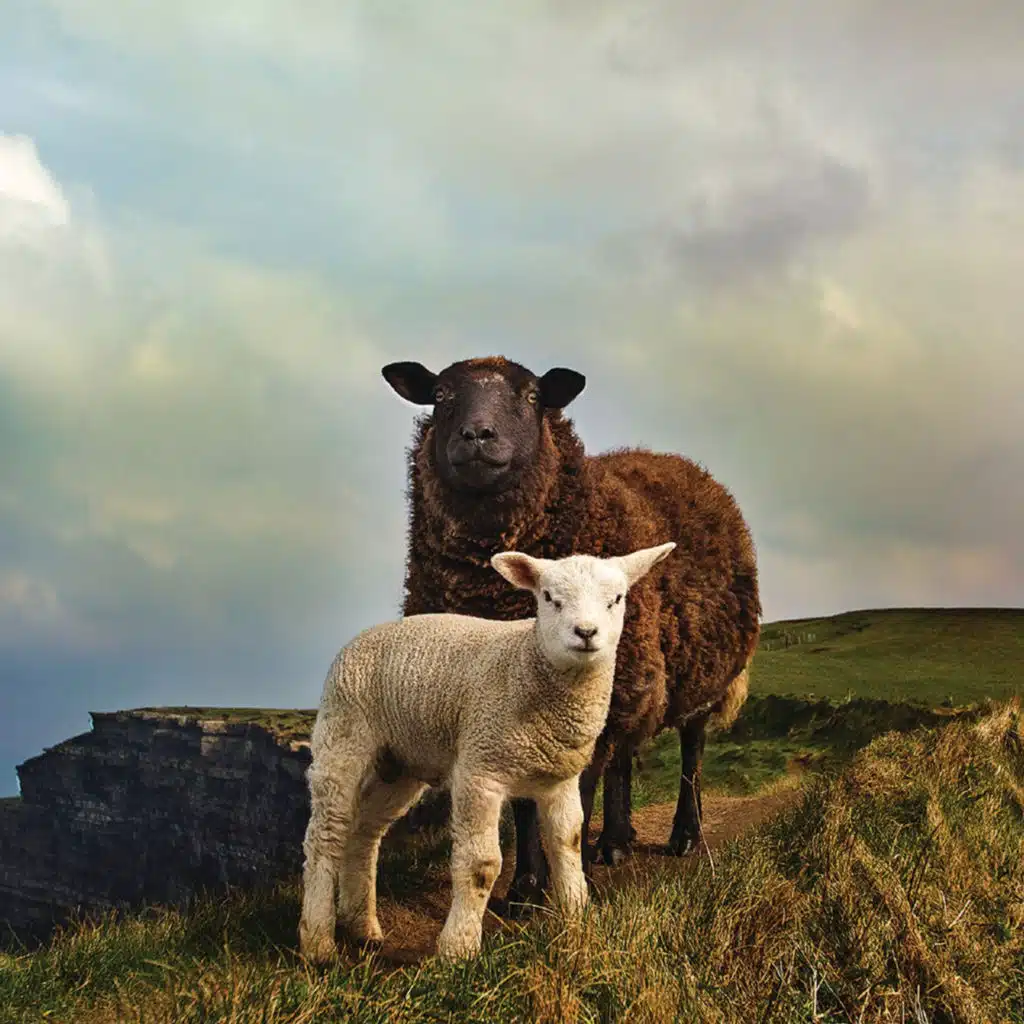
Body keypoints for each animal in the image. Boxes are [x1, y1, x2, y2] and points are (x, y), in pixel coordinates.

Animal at [297, 542, 676, 962]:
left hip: (399, 764)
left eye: (617, 599)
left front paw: (578, 922)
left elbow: (568, 844)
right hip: (343, 736)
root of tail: (363, 636)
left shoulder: (560, 780)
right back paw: (318, 942)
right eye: (549, 598)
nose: (586, 632)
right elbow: (481, 864)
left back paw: (362, 927)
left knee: (364, 832)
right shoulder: (480, 769)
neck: (527, 664)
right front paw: (458, 948)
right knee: (326, 836)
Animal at [380, 356, 761, 911]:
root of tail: (681, 462)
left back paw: (684, 836)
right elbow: (525, 803)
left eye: (533, 396)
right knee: (625, 758)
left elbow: (571, 798)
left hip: (697, 673)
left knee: (691, 750)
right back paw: (616, 843)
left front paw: (561, 885)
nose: (477, 435)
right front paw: (524, 887)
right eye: (441, 394)